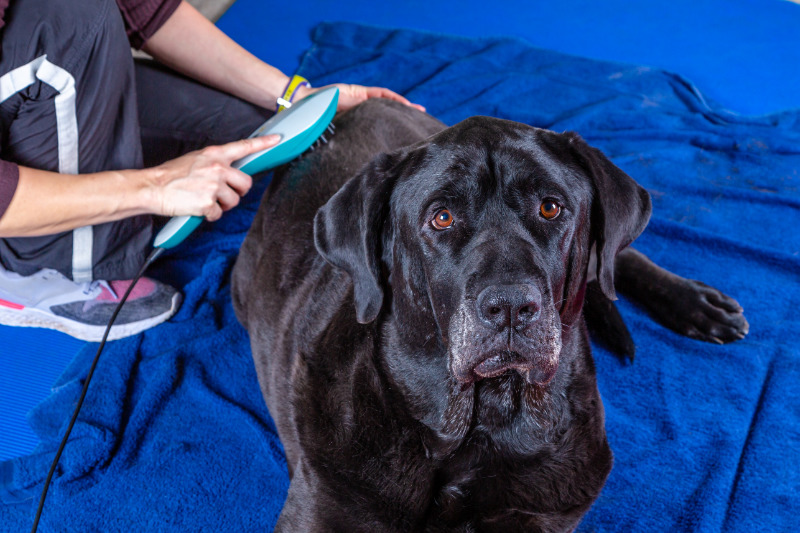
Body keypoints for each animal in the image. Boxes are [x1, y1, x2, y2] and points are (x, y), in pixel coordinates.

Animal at [231, 98, 752, 528]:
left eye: (550, 207)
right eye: (441, 217)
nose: (510, 308)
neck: (483, 424)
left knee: (613, 259)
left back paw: (696, 303)